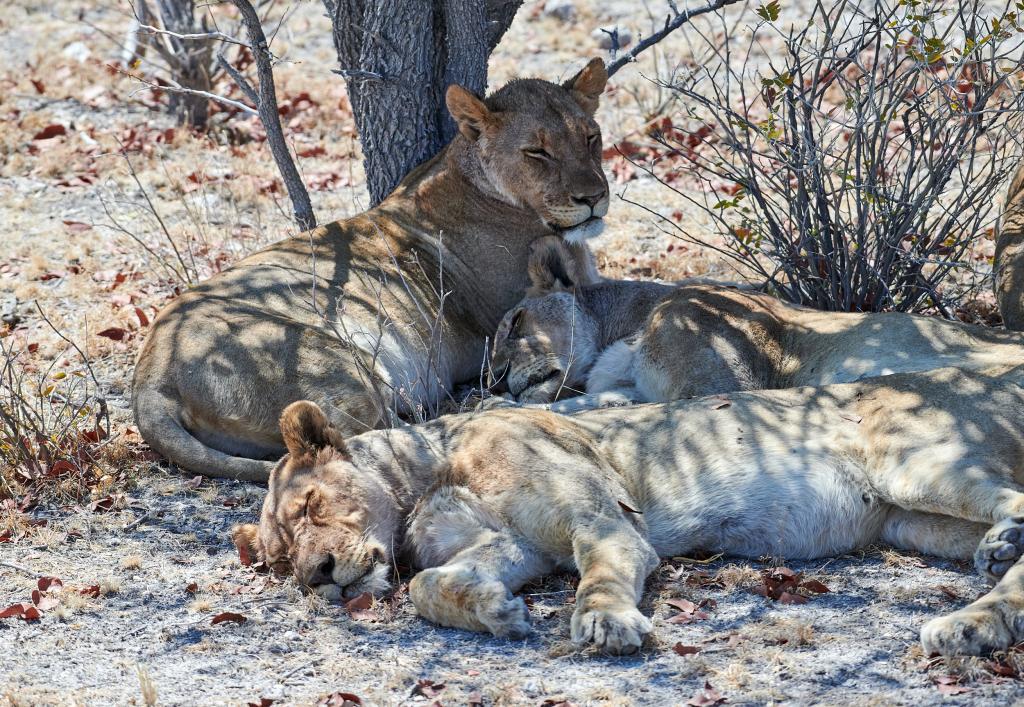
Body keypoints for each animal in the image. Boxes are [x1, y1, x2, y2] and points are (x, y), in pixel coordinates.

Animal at [126, 60, 606, 481]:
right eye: (537, 152)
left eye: (591, 138)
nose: (594, 197)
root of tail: (151, 379)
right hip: (334, 363)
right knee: (381, 435)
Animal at [232, 362, 1024, 655]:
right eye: (277, 559)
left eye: (311, 504)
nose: (317, 574)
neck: (425, 477)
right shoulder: (516, 547)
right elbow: (431, 584)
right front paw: (496, 612)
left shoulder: (603, 522)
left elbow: (602, 574)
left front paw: (604, 621)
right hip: (911, 520)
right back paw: (984, 590)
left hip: (917, 466)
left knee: (1016, 501)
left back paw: (980, 599)